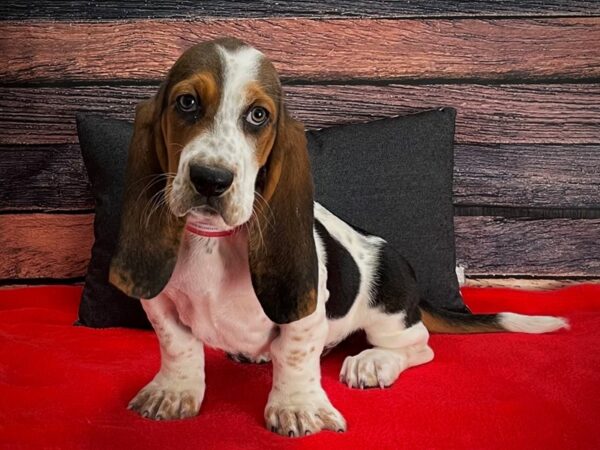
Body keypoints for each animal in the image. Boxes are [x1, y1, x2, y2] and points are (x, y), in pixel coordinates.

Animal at [110, 37, 568, 438]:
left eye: (258, 116)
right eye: (186, 102)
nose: (210, 179)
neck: (214, 239)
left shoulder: (308, 311)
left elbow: (295, 355)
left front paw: (296, 406)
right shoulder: (160, 304)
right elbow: (178, 346)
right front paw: (173, 393)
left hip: (388, 318)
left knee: (420, 346)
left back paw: (373, 363)